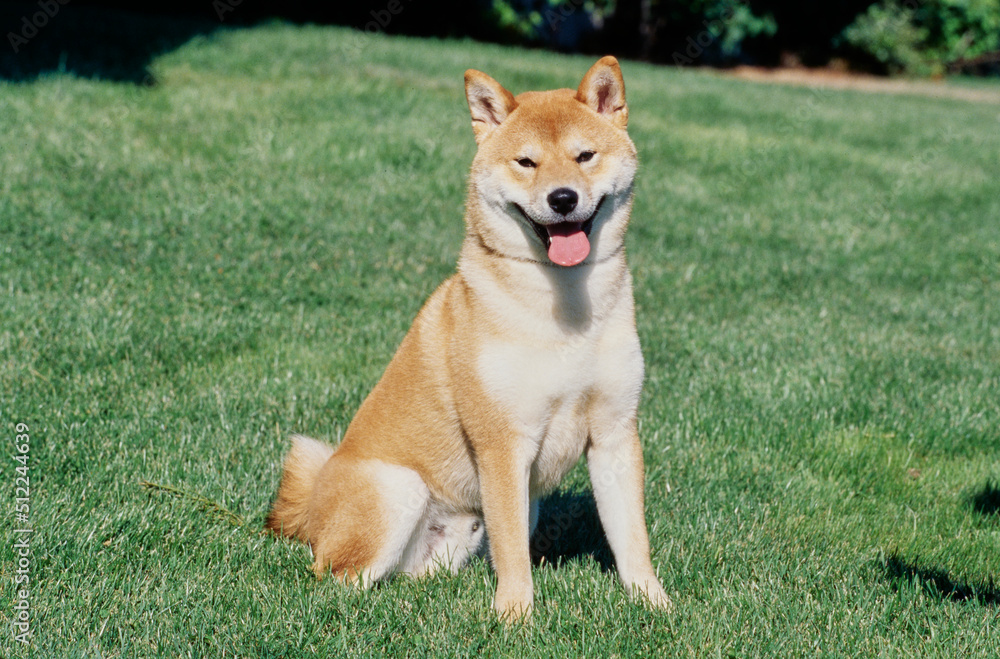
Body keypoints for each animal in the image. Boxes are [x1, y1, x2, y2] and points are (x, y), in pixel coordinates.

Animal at [270, 55, 668, 620]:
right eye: (527, 162)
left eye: (584, 156)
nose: (562, 198)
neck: (566, 308)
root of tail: (312, 507)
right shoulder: (502, 443)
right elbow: (514, 553)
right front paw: (516, 618)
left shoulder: (615, 434)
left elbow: (632, 537)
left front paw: (654, 605)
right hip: (399, 489)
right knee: (336, 578)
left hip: (463, 529)